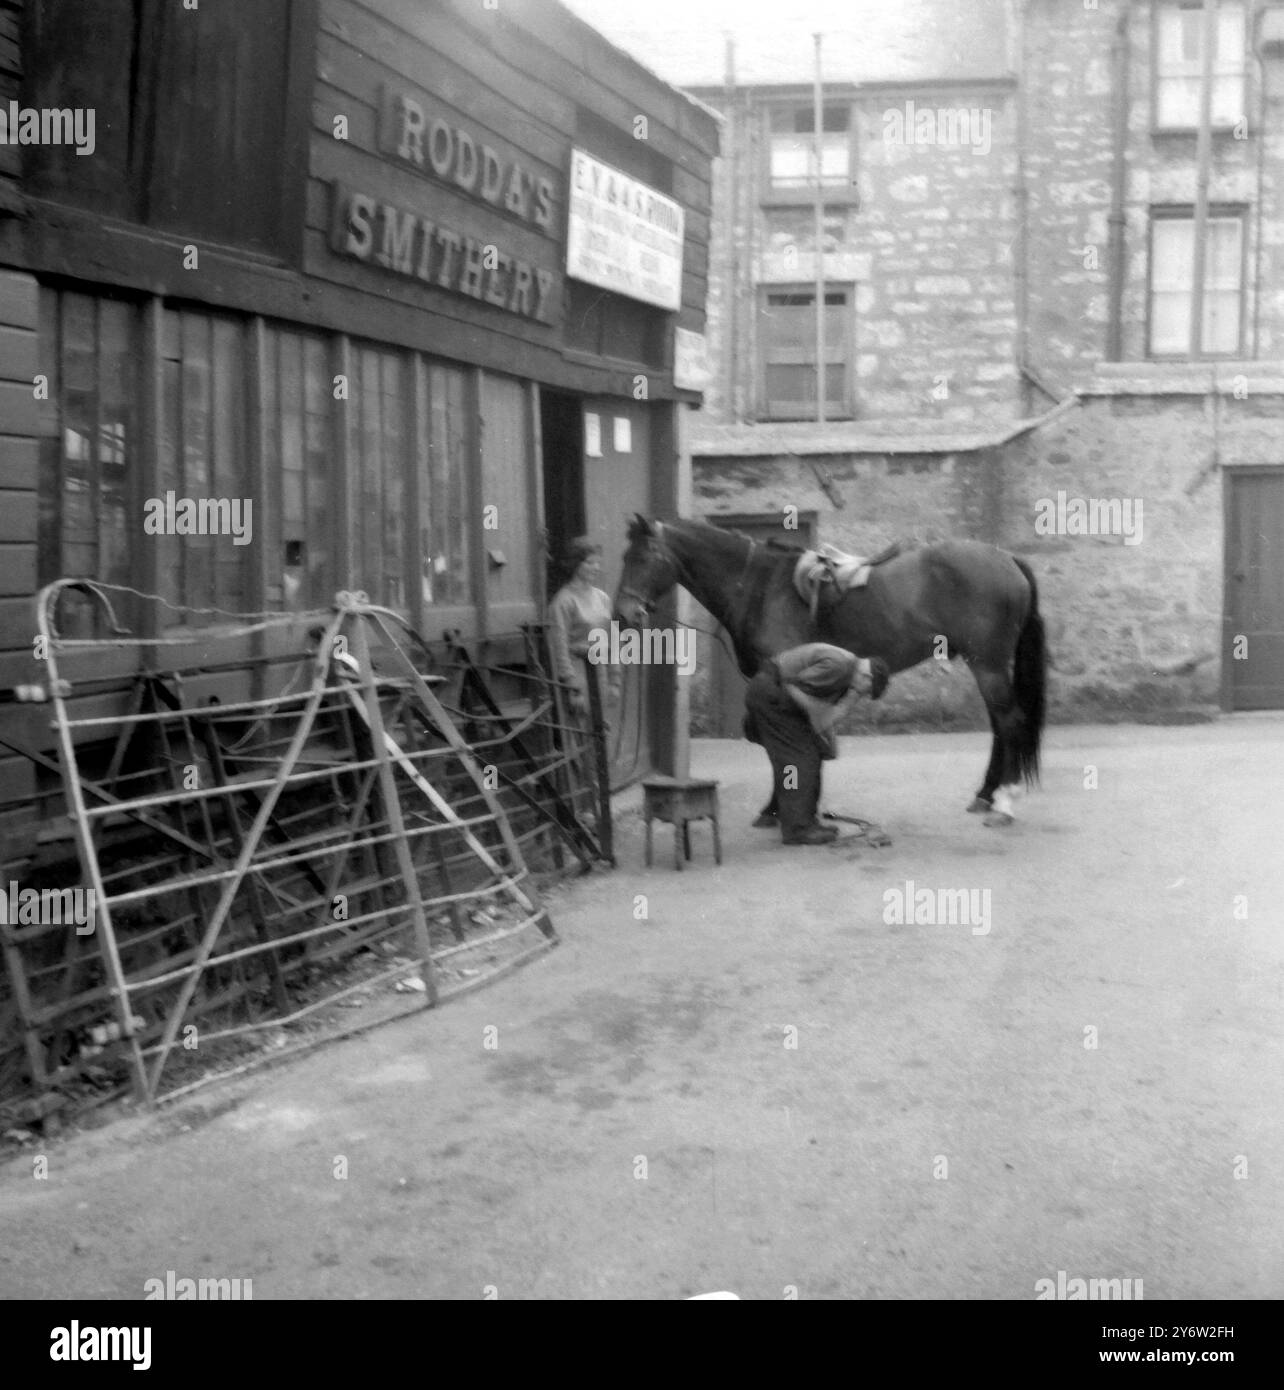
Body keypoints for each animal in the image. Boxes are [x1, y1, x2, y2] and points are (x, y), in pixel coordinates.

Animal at [616, 519, 1050, 822]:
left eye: (642, 558)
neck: (759, 585)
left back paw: (1004, 802)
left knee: (1010, 722)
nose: (624, 614)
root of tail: (1006, 558)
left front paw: (776, 808)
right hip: (987, 666)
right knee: (1000, 726)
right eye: (625, 557)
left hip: (988, 665)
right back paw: (985, 795)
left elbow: (780, 745)